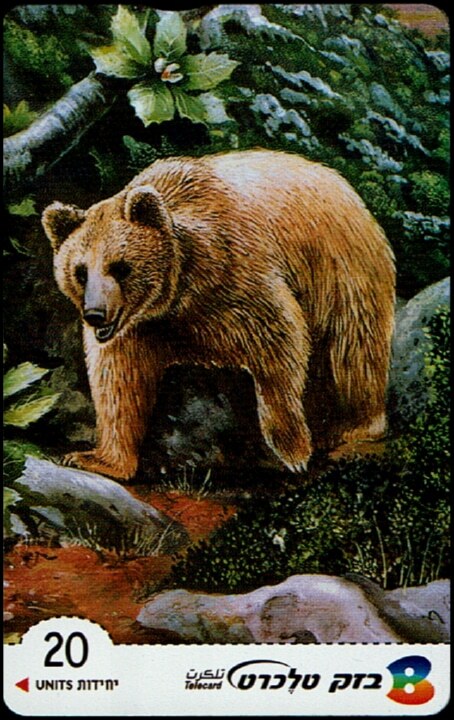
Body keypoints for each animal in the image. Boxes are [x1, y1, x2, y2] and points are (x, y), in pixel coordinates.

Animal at [42, 149, 395, 481]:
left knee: (352, 353)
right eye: (80, 271)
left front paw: (293, 451)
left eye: (120, 267)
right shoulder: (141, 327)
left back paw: (354, 429)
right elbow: (118, 382)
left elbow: (279, 344)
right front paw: (96, 459)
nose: (96, 314)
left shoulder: (236, 276)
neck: (180, 287)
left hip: (342, 273)